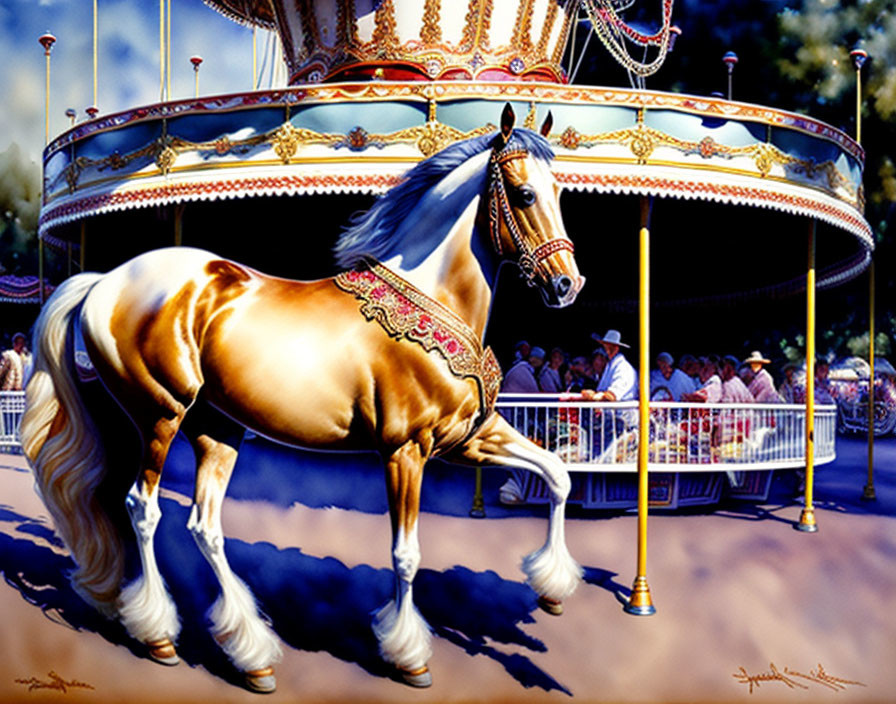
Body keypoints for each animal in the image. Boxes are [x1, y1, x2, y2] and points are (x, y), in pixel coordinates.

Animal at [21, 104, 588, 692]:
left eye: (560, 193)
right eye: (524, 194)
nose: (567, 286)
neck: (430, 301)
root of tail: (104, 280)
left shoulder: (469, 440)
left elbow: (558, 475)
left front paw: (552, 589)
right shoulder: (405, 451)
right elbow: (406, 554)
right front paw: (409, 656)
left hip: (217, 429)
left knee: (204, 524)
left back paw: (252, 657)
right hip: (160, 415)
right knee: (143, 507)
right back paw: (159, 635)